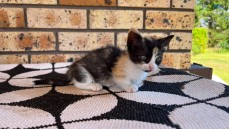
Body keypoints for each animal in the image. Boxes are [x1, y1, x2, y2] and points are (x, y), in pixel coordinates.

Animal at [34, 28, 174, 92]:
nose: (151, 67)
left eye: (158, 59)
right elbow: (122, 80)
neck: (136, 67)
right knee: (77, 83)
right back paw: (94, 85)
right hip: (82, 70)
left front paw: (138, 82)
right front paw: (131, 86)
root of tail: (70, 71)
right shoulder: (117, 70)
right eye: (143, 57)